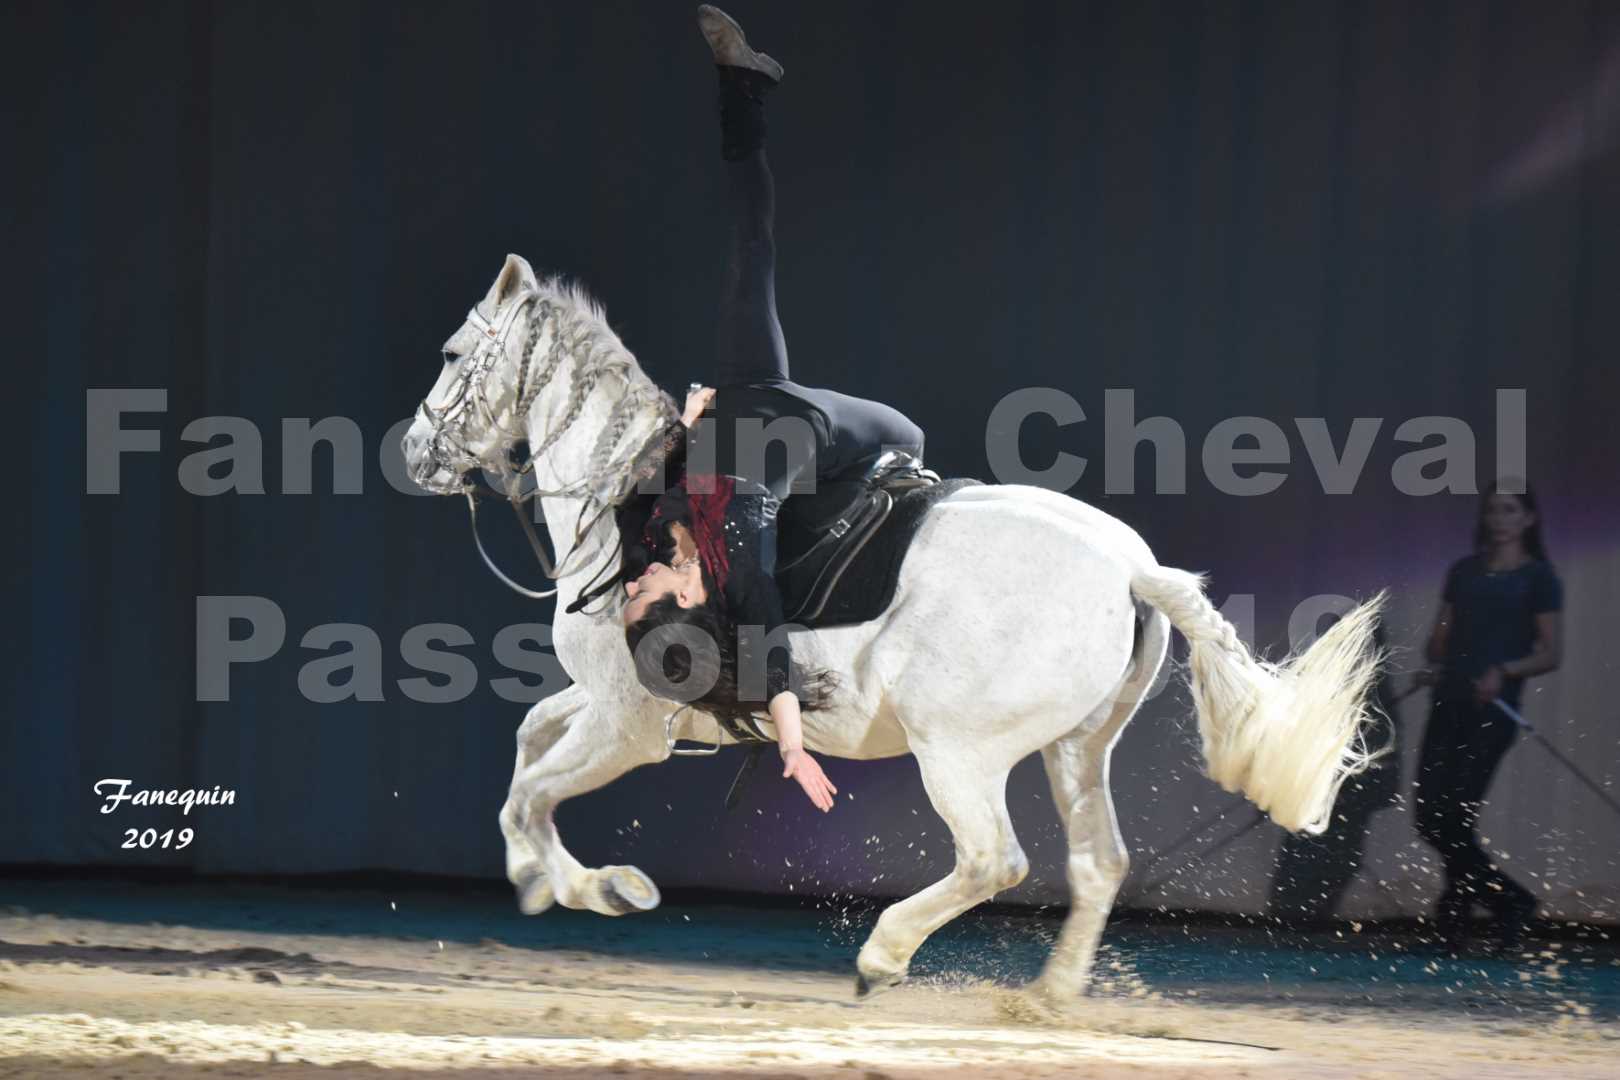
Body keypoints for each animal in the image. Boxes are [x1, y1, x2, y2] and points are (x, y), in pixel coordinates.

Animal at [398, 257, 1386, 1003]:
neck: (628, 492)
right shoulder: (613, 704)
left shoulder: (629, 724)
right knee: (1099, 861)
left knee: (993, 861)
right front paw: (536, 876)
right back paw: (1047, 1000)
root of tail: (1129, 567)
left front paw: (597, 887)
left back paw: (885, 953)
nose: (414, 452)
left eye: (451, 353)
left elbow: (530, 792)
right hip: (1076, 747)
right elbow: (530, 743)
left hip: (958, 750)